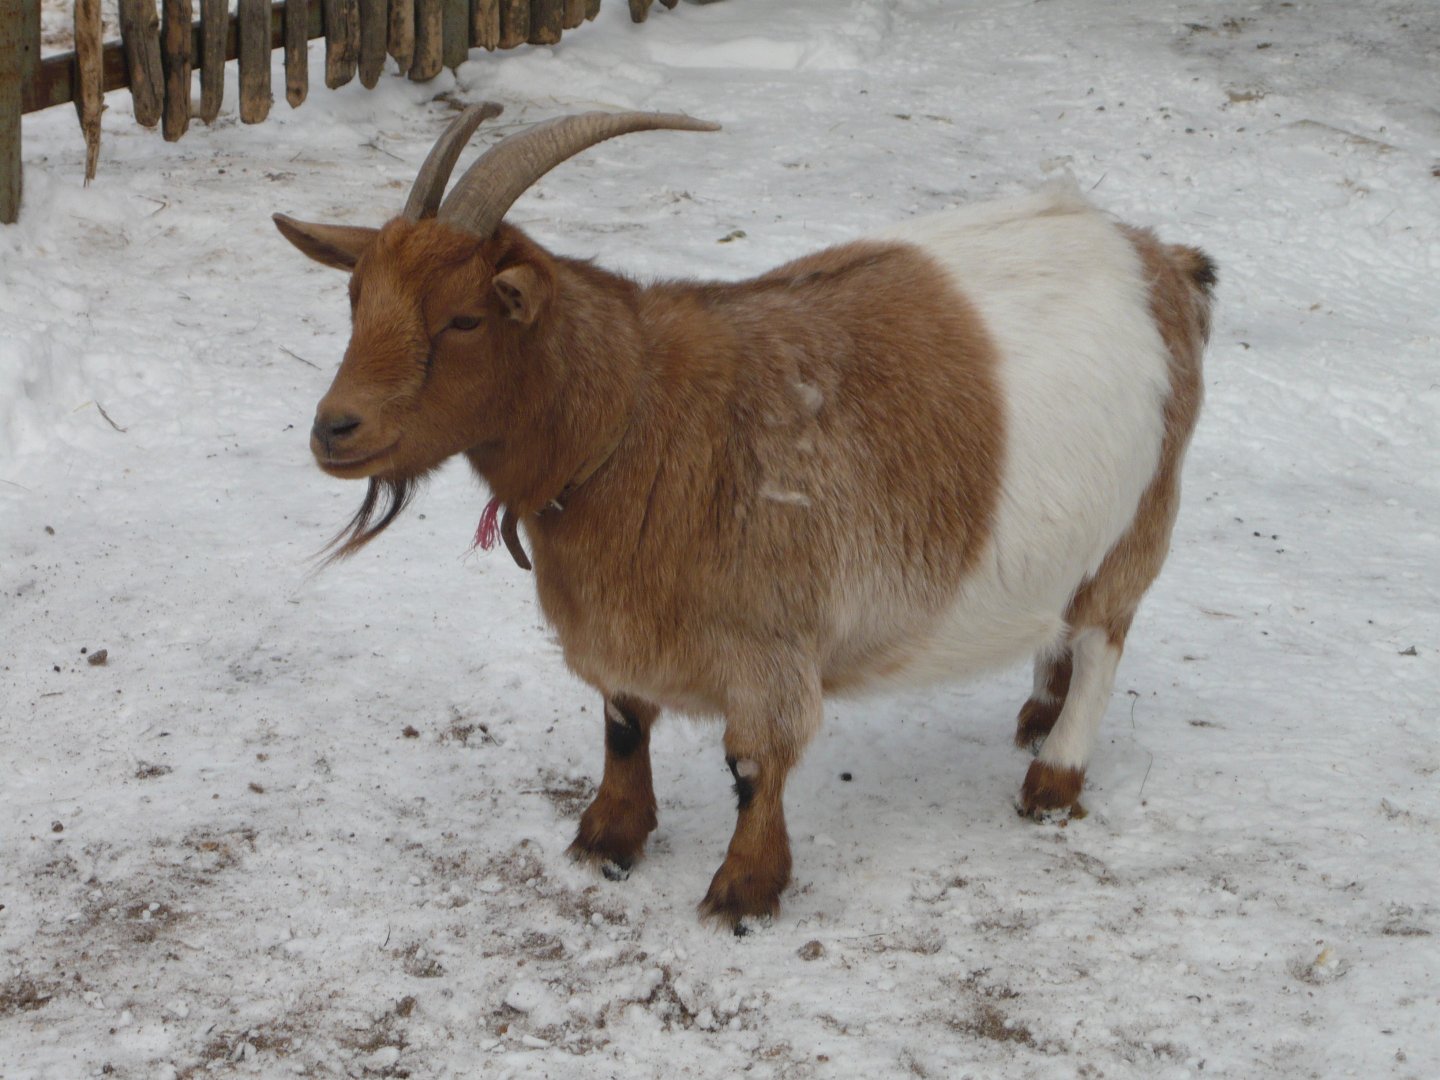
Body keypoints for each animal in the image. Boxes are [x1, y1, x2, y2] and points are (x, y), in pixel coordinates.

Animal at [273, 104, 1215, 932]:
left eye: (466, 317)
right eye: (355, 298)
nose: (333, 429)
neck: (641, 418)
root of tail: (1156, 259)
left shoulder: (771, 638)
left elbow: (757, 763)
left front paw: (744, 891)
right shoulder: (624, 627)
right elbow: (623, 726)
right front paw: (607, 839)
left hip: (1142, 513)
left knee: (1105, 634)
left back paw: (1054, 775)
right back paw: (1036, 713)